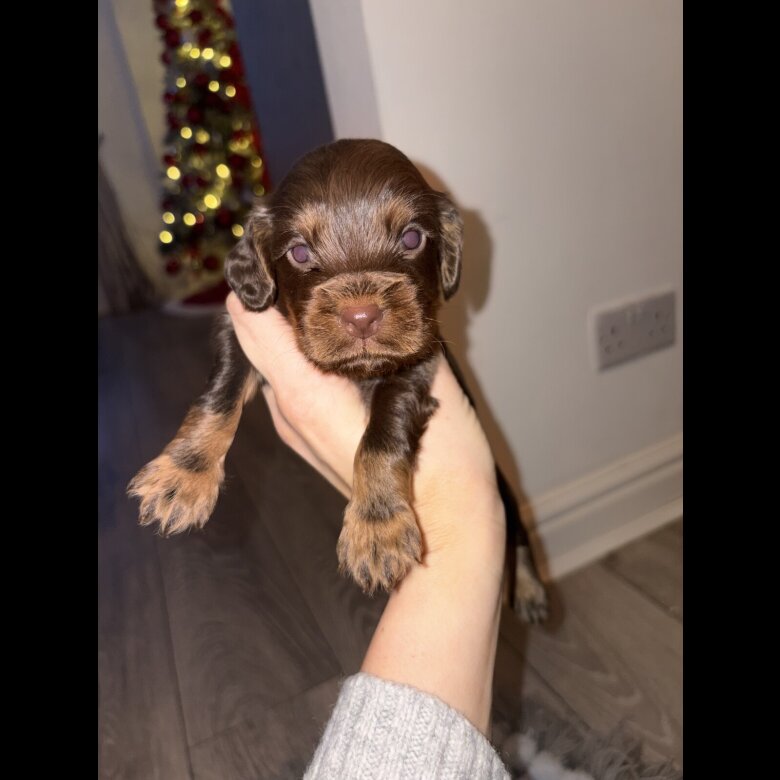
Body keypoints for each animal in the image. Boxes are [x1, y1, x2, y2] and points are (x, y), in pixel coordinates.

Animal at [128, 139, 547, 622]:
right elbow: (220, 395)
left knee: (516, 531)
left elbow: (380, 438)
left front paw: (377, 528)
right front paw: (183, 474)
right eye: (299, 252)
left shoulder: (415, 365)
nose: (361, 316)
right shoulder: (243, 328)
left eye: (412, 238)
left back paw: (530, 589)